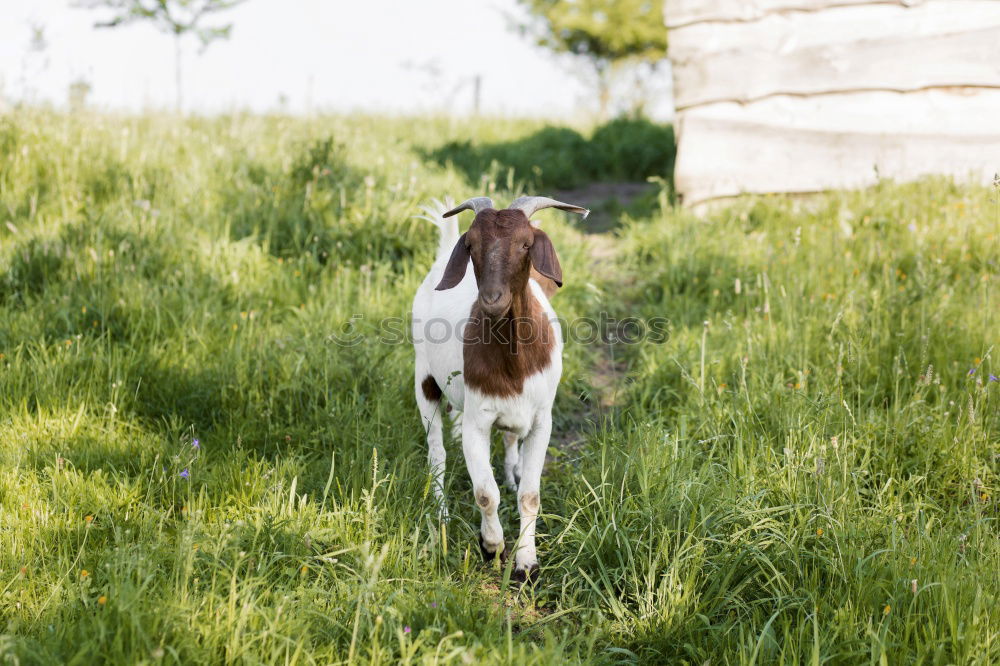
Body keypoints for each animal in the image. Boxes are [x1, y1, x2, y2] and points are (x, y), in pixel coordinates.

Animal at [412, 195, 588, 580]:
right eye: (472, 246)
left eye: (525, 244)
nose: (492, 299)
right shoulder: (478, 420)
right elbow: (484, 493)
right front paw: (492, 545)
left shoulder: (541, 420)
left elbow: (529, 495)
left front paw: (527, 562)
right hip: (424, 378)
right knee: (437, 452)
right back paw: (442, 515)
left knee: (506, 438)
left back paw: (510, 473)